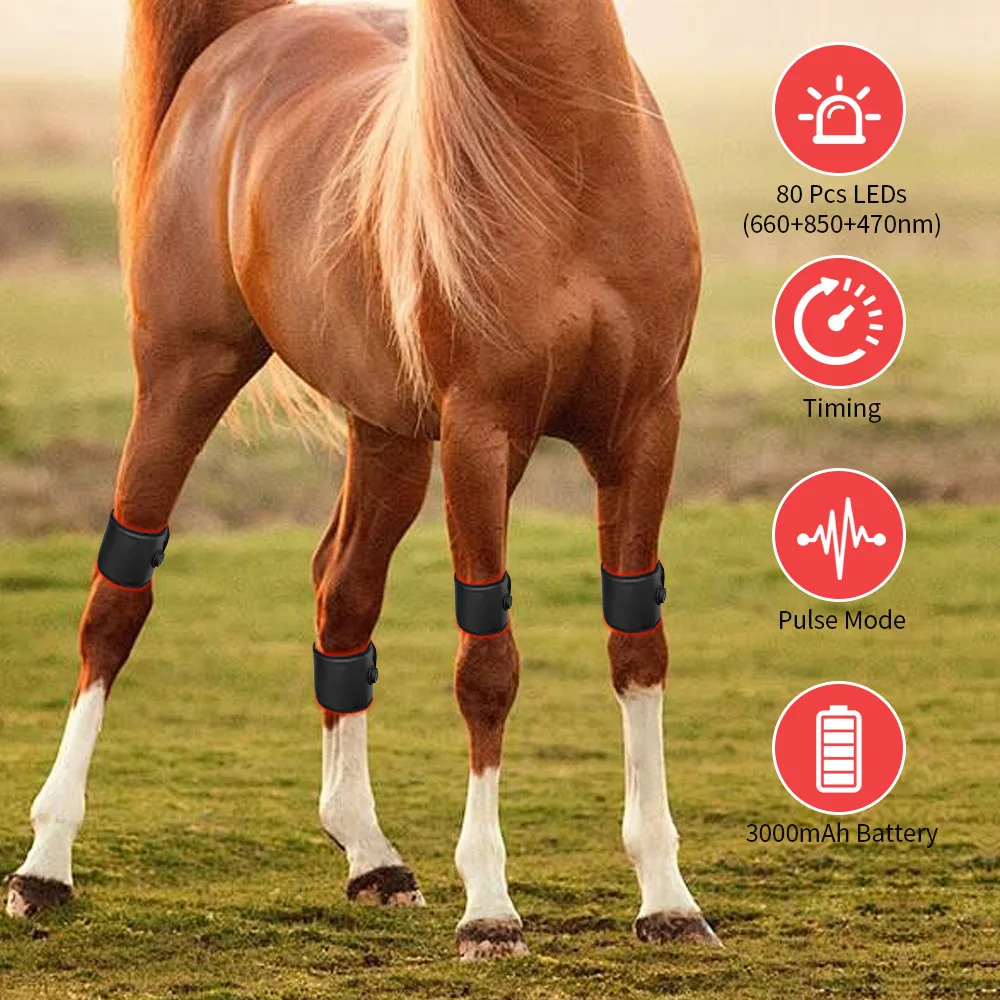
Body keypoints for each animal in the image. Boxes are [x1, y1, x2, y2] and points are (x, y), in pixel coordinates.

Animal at [4, 0, 716, 959]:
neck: (567, 155)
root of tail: (249, 38)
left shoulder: (644, 428)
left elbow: (637, 645)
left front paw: (667, 898)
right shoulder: (480, 433)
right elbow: (487, 665)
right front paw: (490, 910)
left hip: (388, 433)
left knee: (341, 593)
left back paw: (371, 855)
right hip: (184, 377)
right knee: (116, 601)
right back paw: (45, 865)